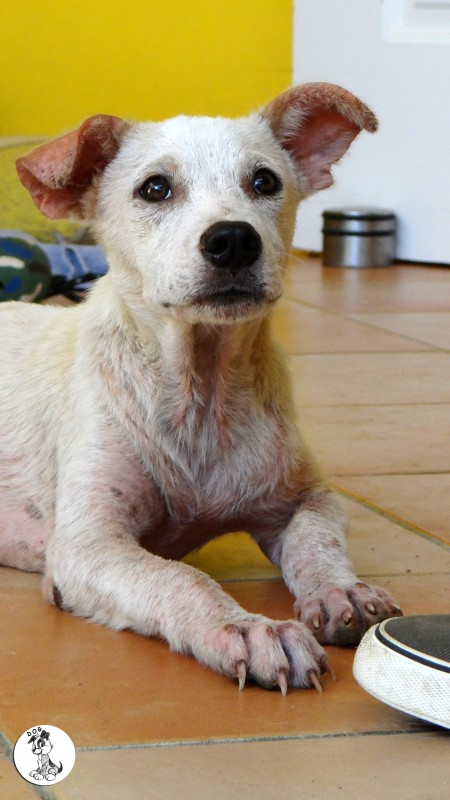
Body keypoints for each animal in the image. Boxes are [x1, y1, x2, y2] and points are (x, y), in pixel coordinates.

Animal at [0, 83, 401, 694]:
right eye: (154, 188)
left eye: (264, 182)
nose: (233, 240)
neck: (200, 389)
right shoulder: (86, 545)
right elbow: (179, 577)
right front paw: (251, 629)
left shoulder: (309, 497)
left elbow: (317, 540)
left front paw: (340, 592)